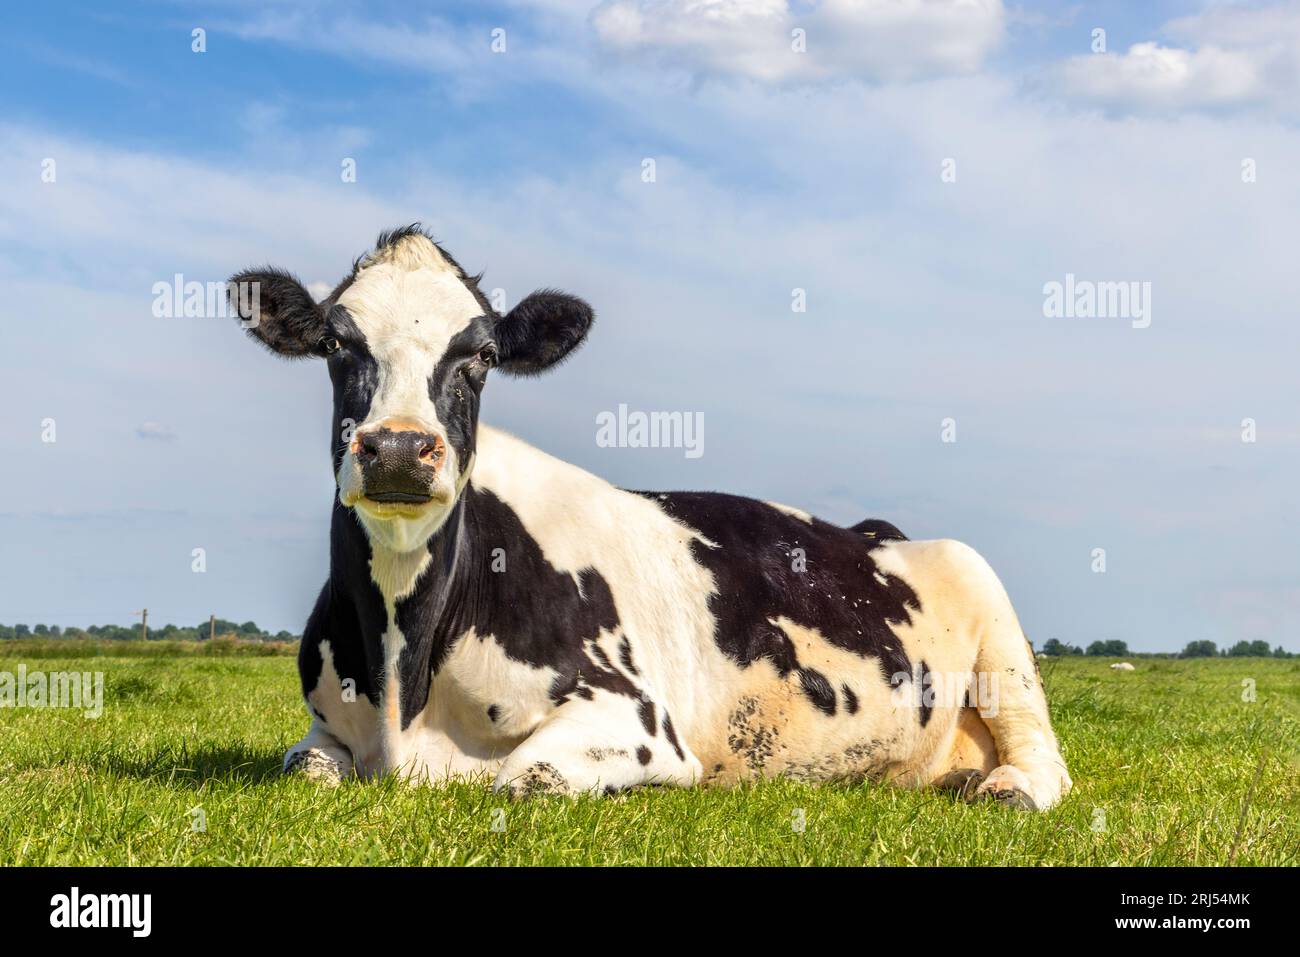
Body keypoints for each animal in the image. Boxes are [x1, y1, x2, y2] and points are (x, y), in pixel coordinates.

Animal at [228, 227, 1071, 811]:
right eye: (336, 343)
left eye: (483, 356)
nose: (400, 447)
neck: (405, 677)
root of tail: (877, 530)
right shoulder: (322, 729)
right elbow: (304, 767)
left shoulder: (636, 719)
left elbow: (523, 775)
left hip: (992, 617)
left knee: (1043, 755)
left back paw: (1008, 788)